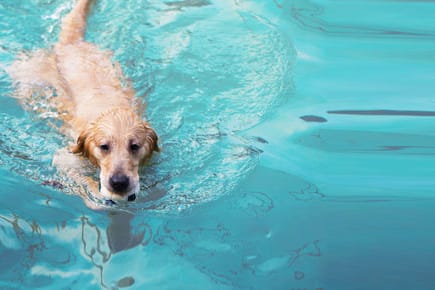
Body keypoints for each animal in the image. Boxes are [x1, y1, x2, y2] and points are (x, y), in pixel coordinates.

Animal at [7, 0, 160, 206]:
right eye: (104, 147)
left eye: (134, 146)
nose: (119, 182)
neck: (110, 107)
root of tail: (74, 43)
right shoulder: (66, 158)